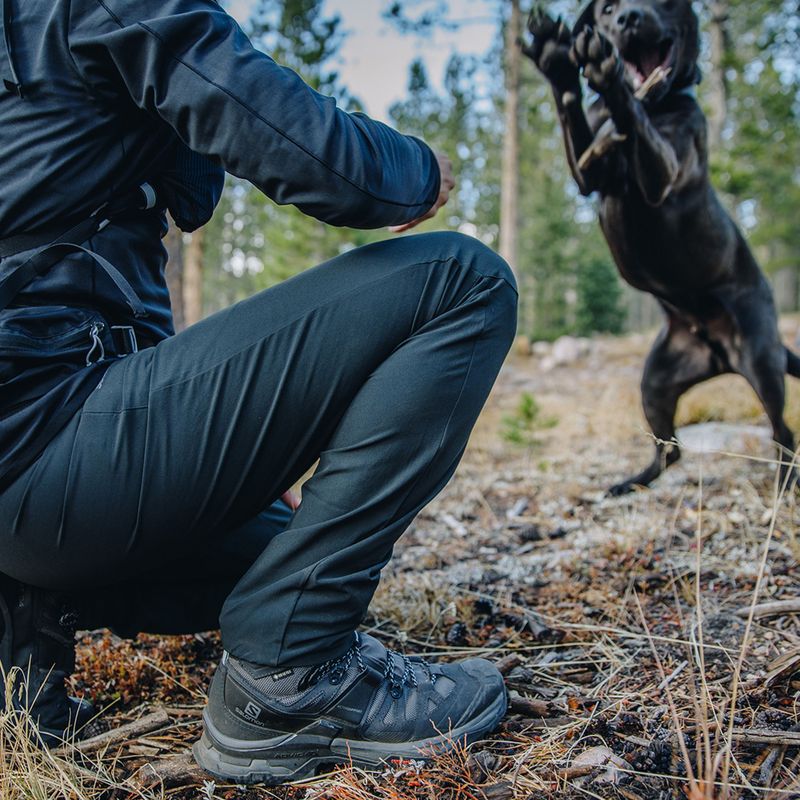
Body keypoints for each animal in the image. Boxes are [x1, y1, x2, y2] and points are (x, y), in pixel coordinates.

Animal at [520, 0, 796, 494]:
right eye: (606, 10)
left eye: (663, 2)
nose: (629, 19)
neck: (657, 99)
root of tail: (717, 351)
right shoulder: (587, 174)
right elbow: (578, 122)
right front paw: (557, 61)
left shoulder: (663, 170)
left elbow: (636, 123)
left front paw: (609, 74)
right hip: (655, 383)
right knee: (672, 449)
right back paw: (631, 482)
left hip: (763, 363)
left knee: (782, 431)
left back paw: (785, 482)